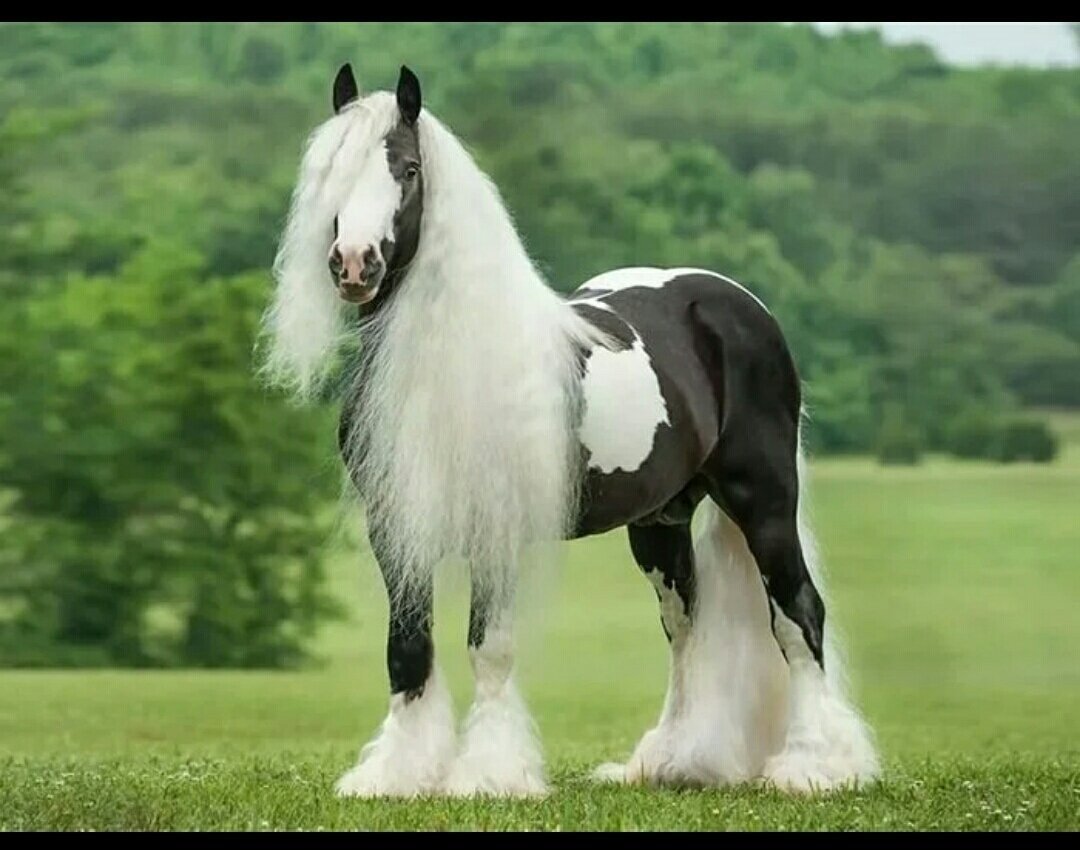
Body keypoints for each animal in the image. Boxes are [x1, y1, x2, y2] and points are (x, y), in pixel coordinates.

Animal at [261, 64, 880, 798]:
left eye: (408, 169)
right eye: (331, 170)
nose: (354, 264)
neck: (442, 363)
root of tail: (735, 303)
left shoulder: (494, 527)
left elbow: (490, 648)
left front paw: (489, 775)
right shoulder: (395, 529)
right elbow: (408, 649)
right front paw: (397, 774)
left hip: (763, 502)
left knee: (797, 614)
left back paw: (816, 765)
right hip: (661, 520)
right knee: (686, 627)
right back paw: (672, 761)